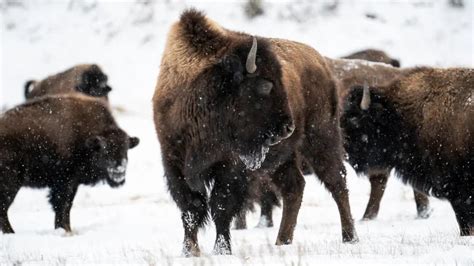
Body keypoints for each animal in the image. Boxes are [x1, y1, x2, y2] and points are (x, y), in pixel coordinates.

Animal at [0, 93, 140, 233]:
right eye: (104, 150)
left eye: (126, 149)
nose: (119, 169)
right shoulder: (65, 182)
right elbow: (62, 205)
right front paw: (65, 229)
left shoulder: (73, 184)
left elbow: (67, 206)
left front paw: (66, 229)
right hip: (12, 183)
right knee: (4, 208)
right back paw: (11, 232)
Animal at [154, 9, 358, 256]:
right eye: (265, 85)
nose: (287, 128)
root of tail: (320, 61)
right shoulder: (174, 164)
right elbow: (191, 209)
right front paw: (189, 251)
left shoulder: (231, 167)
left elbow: (221, 207)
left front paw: (222, 250)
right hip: (284, 157)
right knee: (294, 187)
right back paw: (282, 240)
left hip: (320, 139)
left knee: (337, 182)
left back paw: (350, 237)